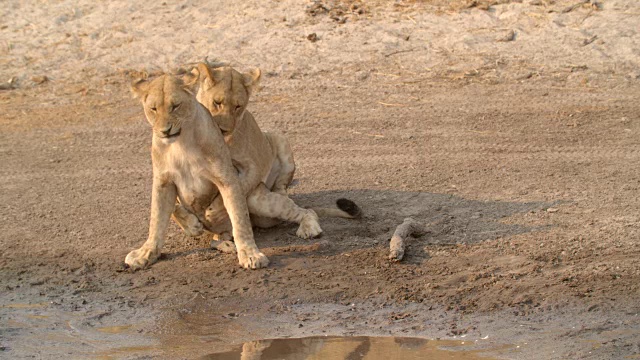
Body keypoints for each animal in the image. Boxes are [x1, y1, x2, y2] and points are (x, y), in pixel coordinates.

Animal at [125, 74, 268, 270]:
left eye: (175, 106)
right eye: (153, 109)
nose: (165, 130)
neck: (181, 143)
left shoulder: (227, 178)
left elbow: (240, 218)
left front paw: (250, 254)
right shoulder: (163, 181)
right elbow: (156, 219)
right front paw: (146, 253)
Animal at [170, 62, 360, 248]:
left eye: (238, 106)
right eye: (217, 102)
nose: (224, 129)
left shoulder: (253, 167)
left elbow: (237, 188)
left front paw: (214, 211)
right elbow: (173, 207)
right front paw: (192, 224)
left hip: (276, 147)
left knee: (300, 205)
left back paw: (308, 228)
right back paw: (223, 240)